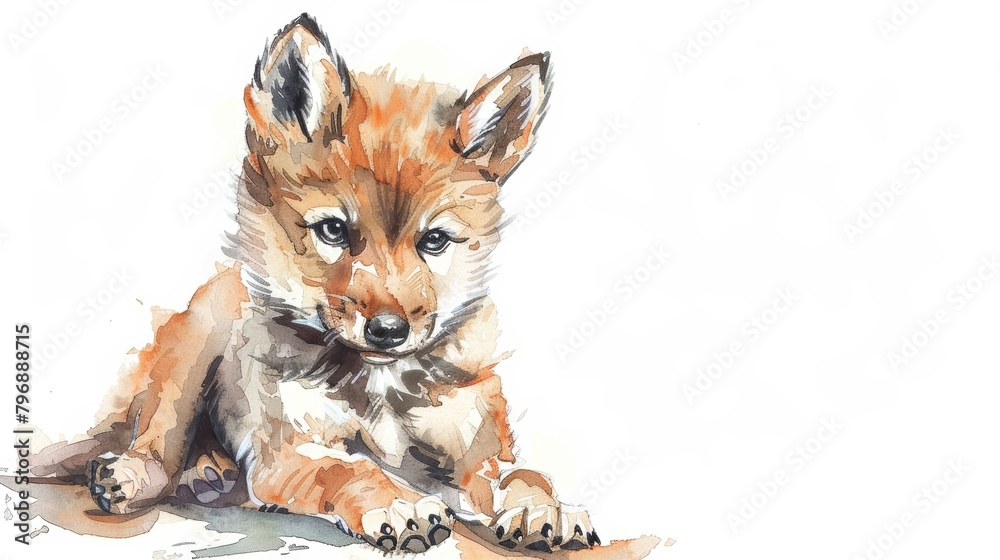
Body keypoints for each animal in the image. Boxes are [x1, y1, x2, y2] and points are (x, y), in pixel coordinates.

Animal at [35, 12, 600, 555]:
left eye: (435, 240)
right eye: (333, 230)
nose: (388, 331)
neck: (379, 382)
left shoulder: (473, 449)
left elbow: (524, 472)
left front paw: (545, 509)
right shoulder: (285, 451)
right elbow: (347, 467)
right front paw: (398, 504)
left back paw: (210, 471)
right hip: (197, 341)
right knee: (158, 435)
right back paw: (140, 474)